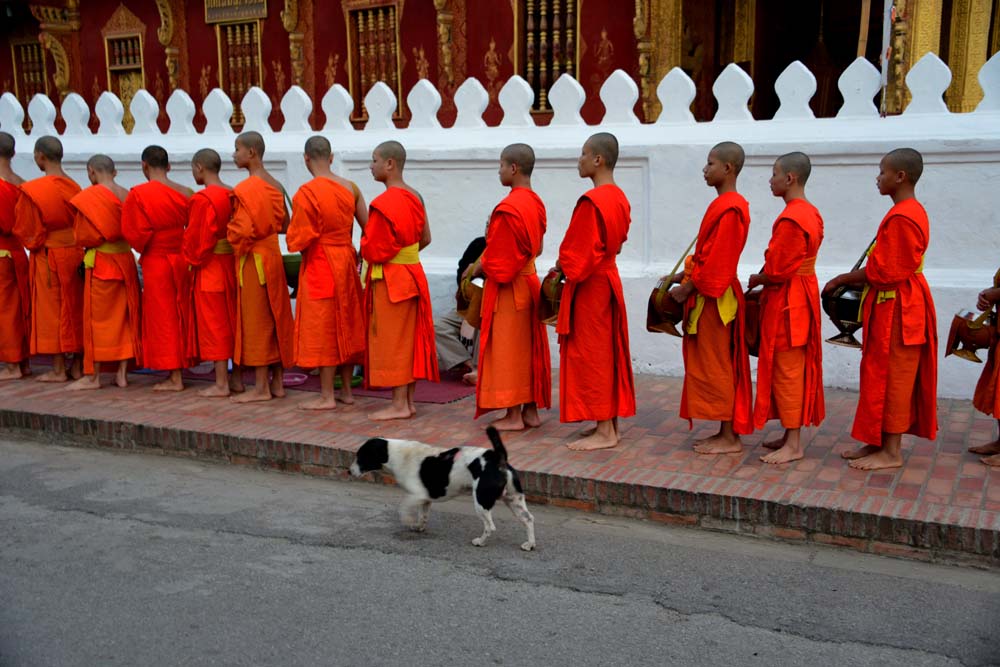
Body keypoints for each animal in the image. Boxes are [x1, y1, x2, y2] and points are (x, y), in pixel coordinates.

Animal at [349, 426, 536, 551]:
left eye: (361, 456)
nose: (349, 471)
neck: (395, 454)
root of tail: (497, 458)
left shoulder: (416, 495)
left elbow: (403, 508)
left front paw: (408, 521)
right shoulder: (425, 499)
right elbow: (423, 516)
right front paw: (419, 527)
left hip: (481, 502)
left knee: (490, 527)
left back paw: (480, 542)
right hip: (514, 499)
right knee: (528, 519)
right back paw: (530, 544)